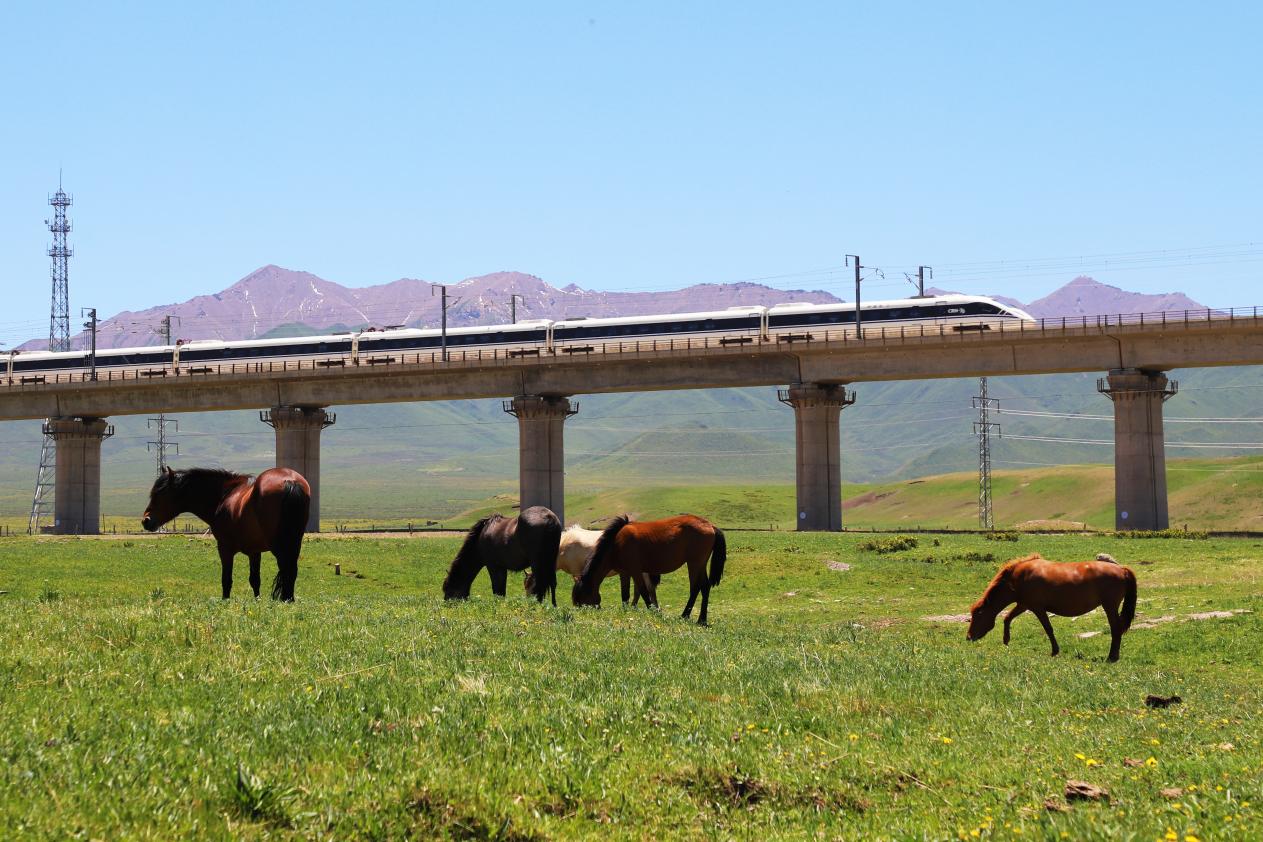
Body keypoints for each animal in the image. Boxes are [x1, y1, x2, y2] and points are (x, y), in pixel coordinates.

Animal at [140, 467, 310, 598]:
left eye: (160, 493)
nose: (146, 520)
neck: (225, 495)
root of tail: (290, 481)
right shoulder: (254, 551)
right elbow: (255, 580)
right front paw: (257, 601)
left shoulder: (224, 548)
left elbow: (226, 580)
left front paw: (225, 601)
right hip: (294, 544)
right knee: (291, 572)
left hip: (280, 547)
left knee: (286, 569)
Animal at [570, 515, 727, 626]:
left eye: (582, 599)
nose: (587, 612)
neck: (616, 544)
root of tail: (710, 525)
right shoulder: (624, 572)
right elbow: (625, 594)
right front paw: (627, 610)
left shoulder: (635, 570)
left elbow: (643, 591)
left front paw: (652, 611)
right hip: (700, 565)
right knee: (704, 587)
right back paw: (701, 619)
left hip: (694, 564)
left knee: (695, 588)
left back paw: (686, 615)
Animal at [964, 552, 1146, 666]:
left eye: (977, 616)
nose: (969, 637)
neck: (1018, 576)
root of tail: (1122, 569)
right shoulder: (1023, 605)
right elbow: (1007, 618)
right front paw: (1006, 640)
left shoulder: (1037, 608)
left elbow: (1048, 629)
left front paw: (1055, 651)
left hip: (1109, 606)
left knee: (1115, 629)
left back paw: (1112, 657)